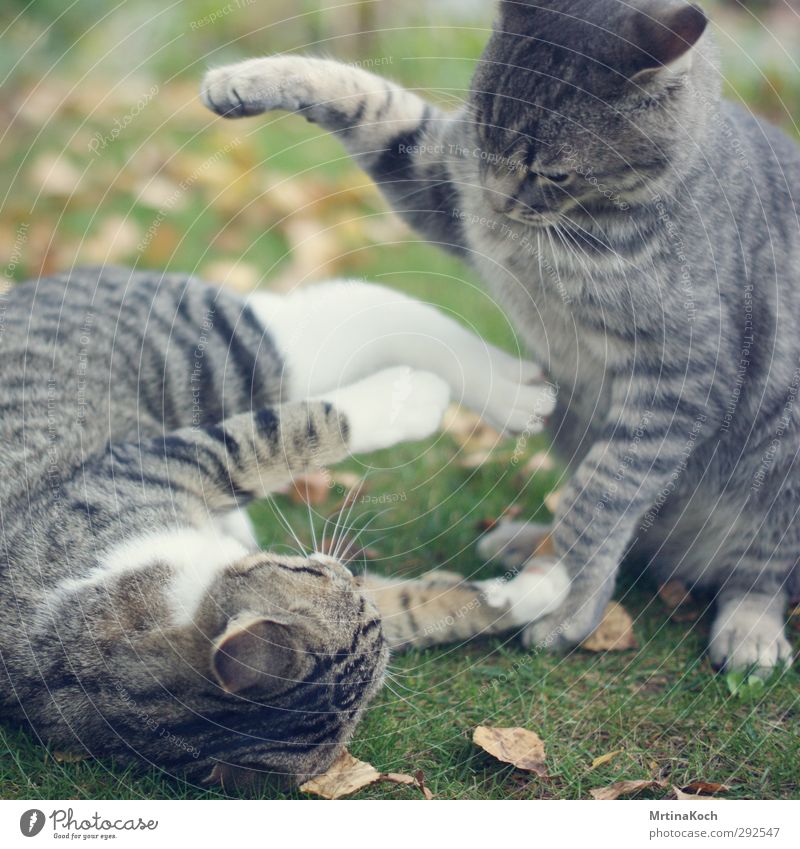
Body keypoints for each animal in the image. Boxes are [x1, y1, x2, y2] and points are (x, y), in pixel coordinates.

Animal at [1, 266, 564, 788]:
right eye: (329, 583)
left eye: (311, 574)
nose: (341, 567)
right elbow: (421, 604)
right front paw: (542, 589)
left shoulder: (144, 465)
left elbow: (284, 432)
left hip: (213, 356)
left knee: (364, 311)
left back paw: (508, 386)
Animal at [202, 1, 800, 676]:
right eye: (485, 138)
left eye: (555, 172)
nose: (493, 203)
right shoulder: (442, 179)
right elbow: (369, 96)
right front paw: (243, 78)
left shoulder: (680, 380)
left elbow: (604, 498)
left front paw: (569, 603)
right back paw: (527, 541)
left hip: (780, 463)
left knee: (761, 571)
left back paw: (750, 629)